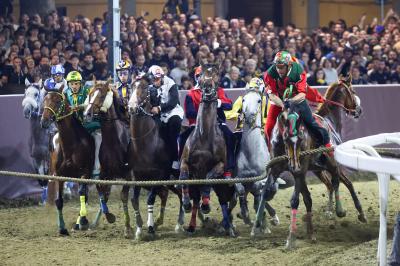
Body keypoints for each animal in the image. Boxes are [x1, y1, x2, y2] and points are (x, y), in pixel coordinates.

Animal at [40, 84, 96, 235]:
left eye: (57, 101)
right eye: (44, 100)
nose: (44, 121)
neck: (70, 146)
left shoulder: (84, 173)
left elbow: (83, 195)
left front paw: (83, 220)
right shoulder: (59, 175)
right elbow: (59, 201)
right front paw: (62, 228)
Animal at [128, 74, 184, 239]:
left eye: (145, 88)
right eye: (132, 86)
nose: (132, 107)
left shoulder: (158, 176)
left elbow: (150, 199)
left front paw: (151, 227)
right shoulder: (136, 176)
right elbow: (134, 200)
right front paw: (139, 228)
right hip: (170, 180)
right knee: (178, 194)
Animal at [180, 63, 236, 236]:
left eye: (217, 76)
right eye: (202, 76)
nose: (208, 88)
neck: (204, 136)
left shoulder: (220, 165)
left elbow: (208, 178)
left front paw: (206, 205)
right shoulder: (185, 162)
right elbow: (183, 178)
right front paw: (185, 203)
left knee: (225, 200)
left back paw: (227, 227)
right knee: (196, 199)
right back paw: (192, 225)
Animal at [234, 88, 278, 232]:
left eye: (259, 100)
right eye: (243, 99)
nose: (248, 115)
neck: (251, 153)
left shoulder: (260, 179)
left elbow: (259, 195)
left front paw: (263, 223)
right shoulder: (238, 178)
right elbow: (241, 192)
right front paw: (246, 216)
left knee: (266, 194)